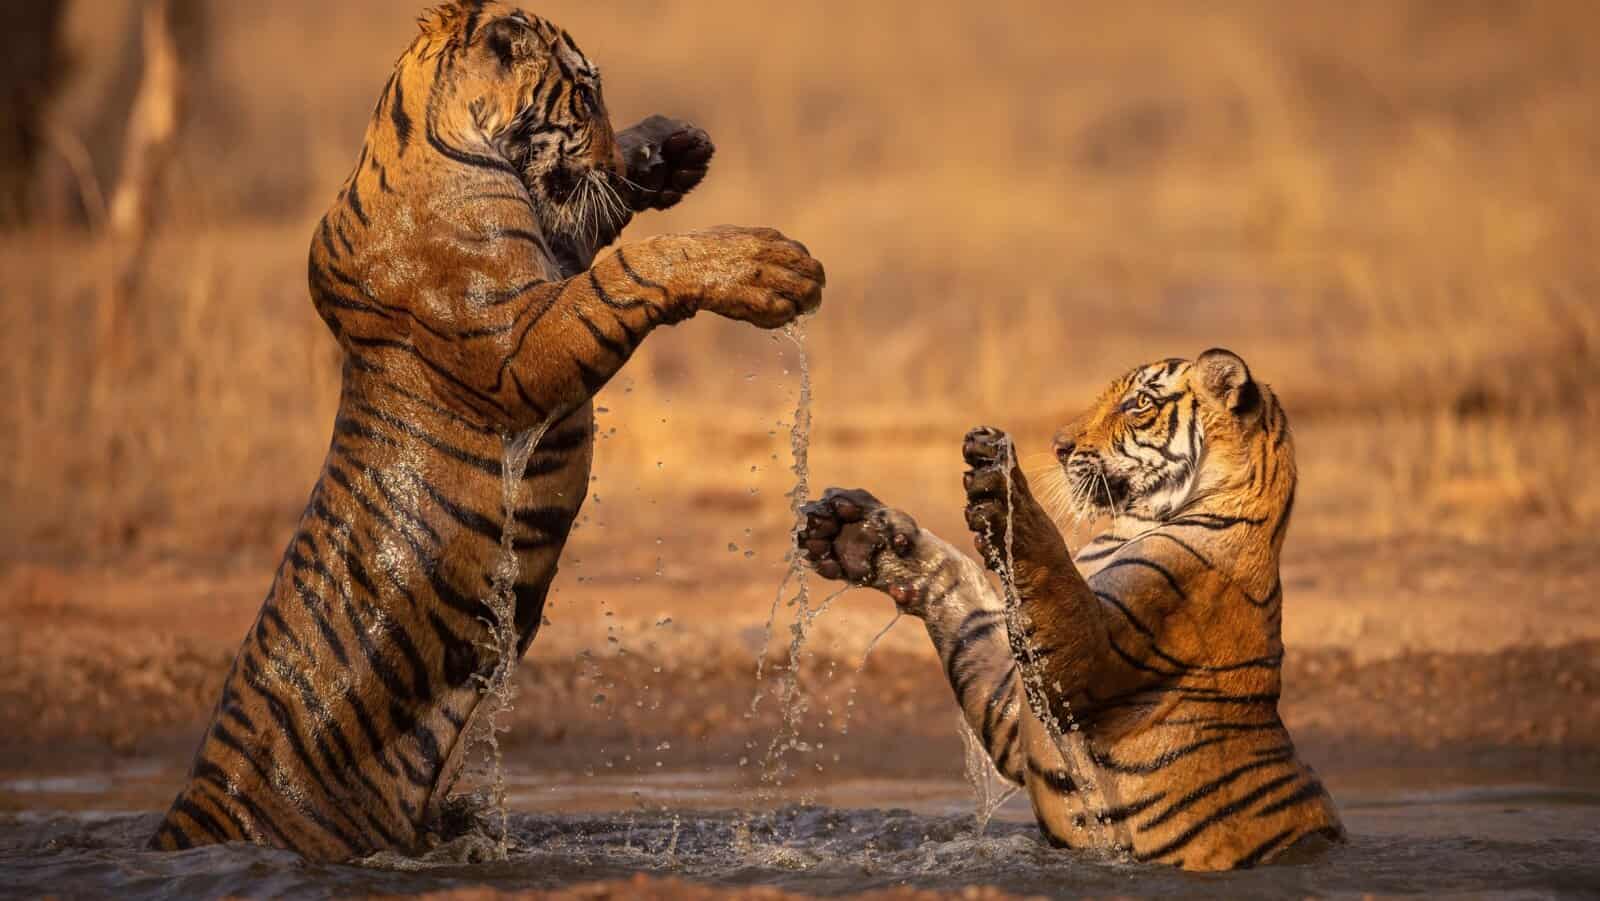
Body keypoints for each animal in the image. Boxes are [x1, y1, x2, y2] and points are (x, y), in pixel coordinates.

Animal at [149, 0, 823, 861]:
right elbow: (626, 270)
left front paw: (671, 148)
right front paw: (769, 266)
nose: (624, 146)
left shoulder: (551, 256)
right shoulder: (519, 347)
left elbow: (600, 219)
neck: (421, 135)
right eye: (584, 96)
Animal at [797, 349, 1344, 871]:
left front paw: (1002, 488)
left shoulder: (1085, 662)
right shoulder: (1014, 708)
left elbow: (1049, 567)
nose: (1059, 447)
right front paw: (857, 533)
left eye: (1138, 404)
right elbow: (967, 609)